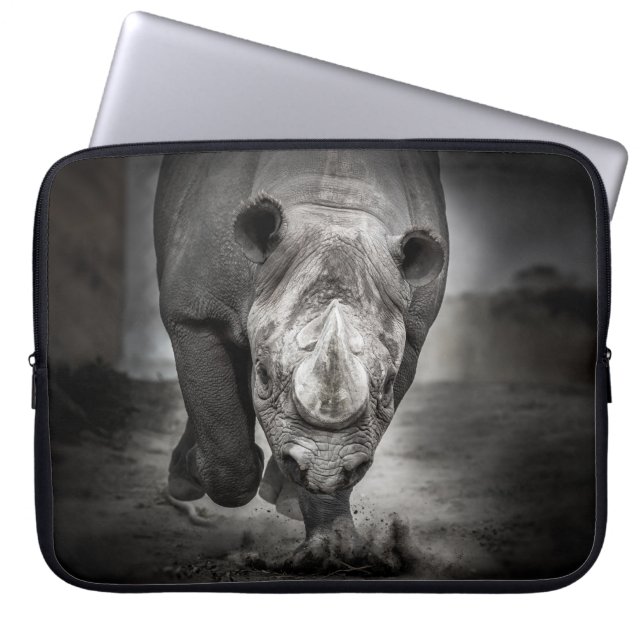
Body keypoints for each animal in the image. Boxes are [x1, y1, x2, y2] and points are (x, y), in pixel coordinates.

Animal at [154, 148, 448, 566]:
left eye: (389, 384)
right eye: (262, 374)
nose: (324, 467)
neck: (333, 207)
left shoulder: (411, 333)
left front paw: (327, 538)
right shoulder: (195, 314)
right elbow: (220, 422)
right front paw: (201, 470)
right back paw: (184, 481)